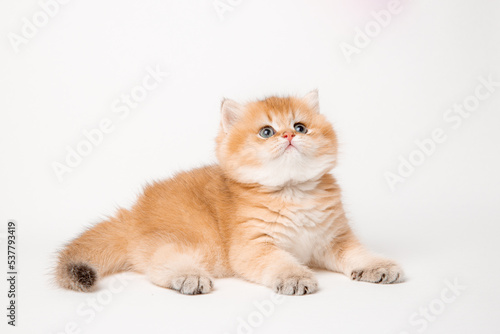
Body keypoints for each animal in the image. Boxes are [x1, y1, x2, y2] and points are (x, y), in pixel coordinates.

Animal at [54, 90, 404, 294]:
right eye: (267, 132)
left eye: (301, 127)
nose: (289, 136)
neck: (292, 193)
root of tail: (132, 214)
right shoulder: (254, 246)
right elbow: (281, 262)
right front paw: (294, 277)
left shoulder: (335, 239)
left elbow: (360, 254)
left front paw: (378, 267)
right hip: (192, 242)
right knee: (159, 265)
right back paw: (189, 277)